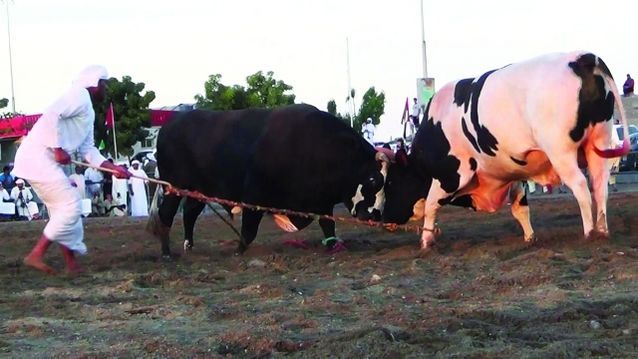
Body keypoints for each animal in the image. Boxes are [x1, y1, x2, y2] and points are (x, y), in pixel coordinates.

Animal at [149, 102, 390, 258]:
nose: (376, 214)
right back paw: (166, 252)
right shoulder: (254, 194)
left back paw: (188, 246)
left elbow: (327, 225)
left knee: (189, 214)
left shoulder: (321, 201)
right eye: (372, 179)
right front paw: (239, 250)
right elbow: (249, 228)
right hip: (175, 187)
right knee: (166, 215)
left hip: (198, 191)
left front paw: (333, 246)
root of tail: (170, 126)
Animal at [382, 52, 632, 255]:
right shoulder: (513, 175)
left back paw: (589, 233)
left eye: (391, 183)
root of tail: (582, 58)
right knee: (599, 187)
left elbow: (431, 206)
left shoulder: (450, 174)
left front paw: (426, 242)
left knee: (581, 187)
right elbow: (520, 208)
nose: (383, 217)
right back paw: (602, 230)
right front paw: (530, 238)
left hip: (561, 152)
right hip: (598, 144)